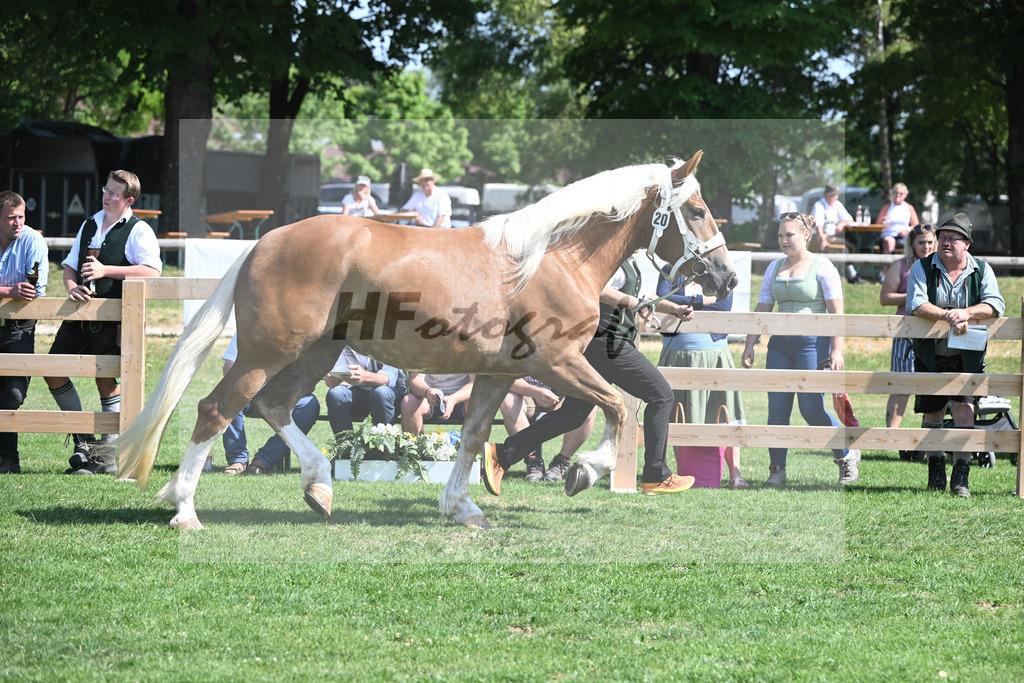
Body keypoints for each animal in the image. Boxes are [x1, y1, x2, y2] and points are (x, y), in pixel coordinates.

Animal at [114, 152, 737, 532]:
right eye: (698, 210)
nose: (727, 277)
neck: (552, 260)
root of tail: (263, 242)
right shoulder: (557, 362)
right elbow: (616, 409)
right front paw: (584, 472)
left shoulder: (498, 374)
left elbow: (475, 436)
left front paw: (464, 508)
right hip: (267, 352)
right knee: (217, 409)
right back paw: (185, 511)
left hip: (313, 353)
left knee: (273, 405)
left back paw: (319, 488)